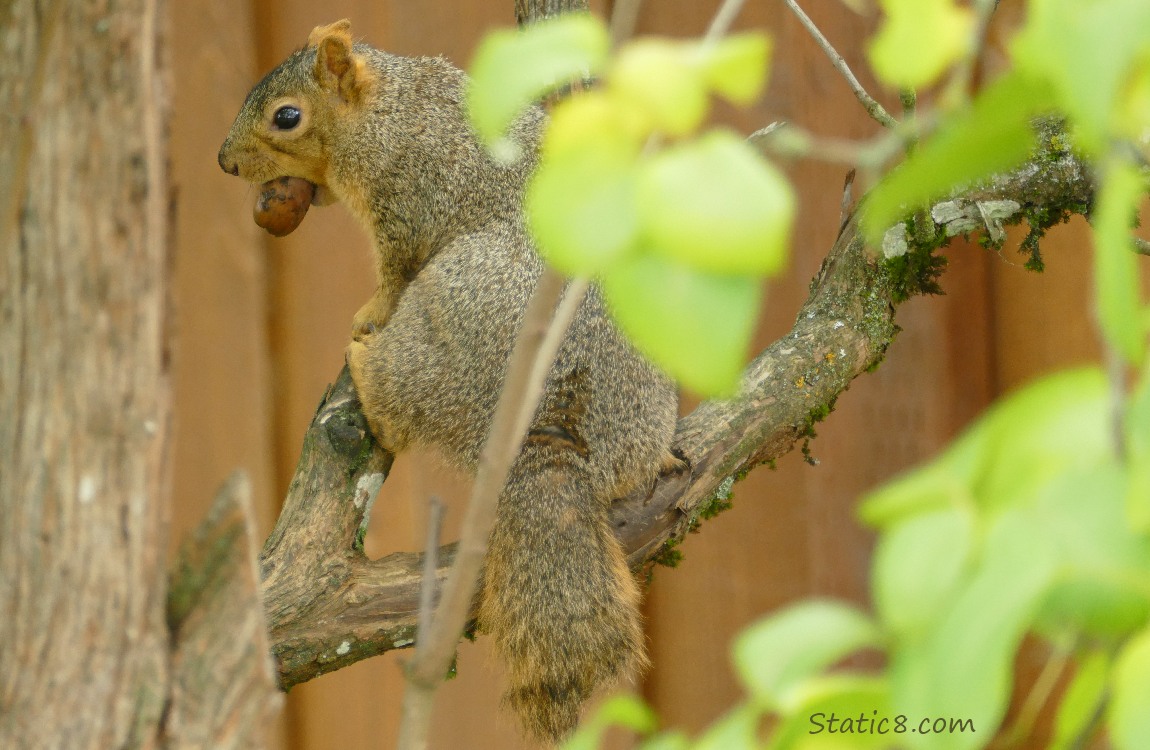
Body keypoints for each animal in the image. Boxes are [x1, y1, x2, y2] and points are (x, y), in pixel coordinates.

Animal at [218, 18, 676, 745]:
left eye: (286, 117)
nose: (225, 162)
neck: (392, 110)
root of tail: (546, 425)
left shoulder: (405, 211)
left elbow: (391, 278)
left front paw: (367, 313)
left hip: (451, 302)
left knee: (396, 403)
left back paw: (367, 363)